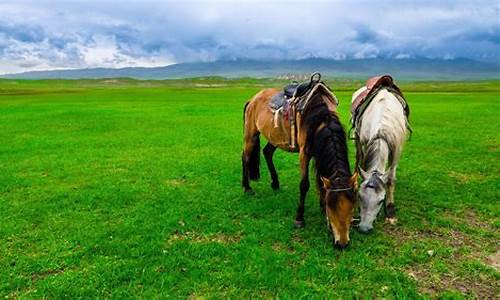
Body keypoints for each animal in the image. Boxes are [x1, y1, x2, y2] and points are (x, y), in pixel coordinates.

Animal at [241, 77, 356, 248]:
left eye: (353, 205)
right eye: (331, 206)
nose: (342, 243)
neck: (321, 118)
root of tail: (253, 99)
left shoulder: (318, 152)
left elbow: (320, 182)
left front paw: (320, 208)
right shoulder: (304, 153)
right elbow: (304, 185)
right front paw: (299, 218)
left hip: (275, 138)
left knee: (267, 152)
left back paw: (275, 184)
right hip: (251, 134)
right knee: (245, 157)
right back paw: (247, 187)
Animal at [352, 76, 410, 233]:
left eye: (381, 201)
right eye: (359, 197)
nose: (364, 228)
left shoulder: (396, 151)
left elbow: (390, 180)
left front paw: (390, 212)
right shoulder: (365, 143)